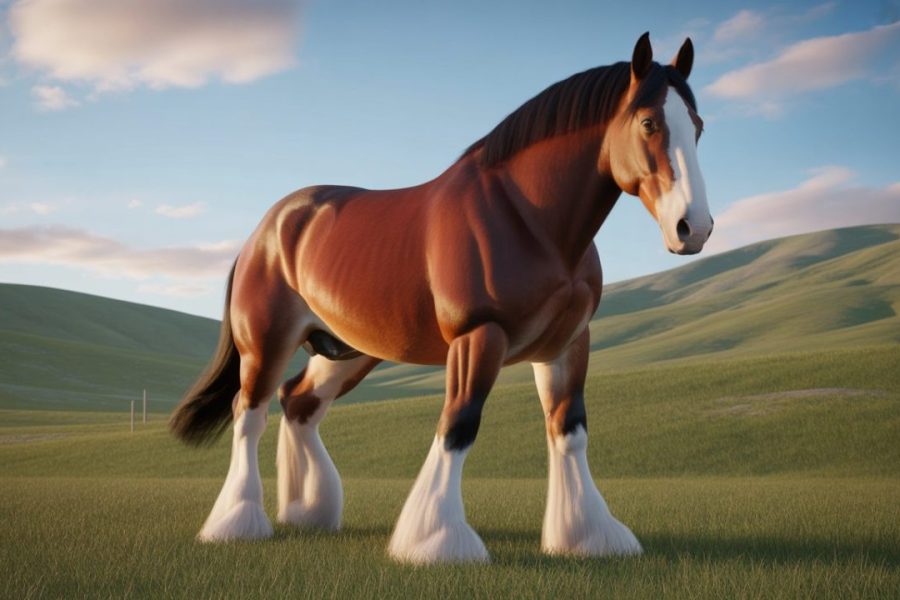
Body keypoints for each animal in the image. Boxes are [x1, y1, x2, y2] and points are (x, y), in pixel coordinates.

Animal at [170, 32, 712, 564]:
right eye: (648, 122)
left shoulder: (567, 344)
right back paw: (237, 523)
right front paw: (436, 539)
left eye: (699, 126)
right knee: (250, 414)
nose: (694, 228)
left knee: (299, 402)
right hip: (265, 344)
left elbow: (569, 429)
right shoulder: (478, 337)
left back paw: (310, 512)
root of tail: (266, 229)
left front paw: (588, 535)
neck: (527, 219)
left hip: (345, 349)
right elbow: (459, 423)